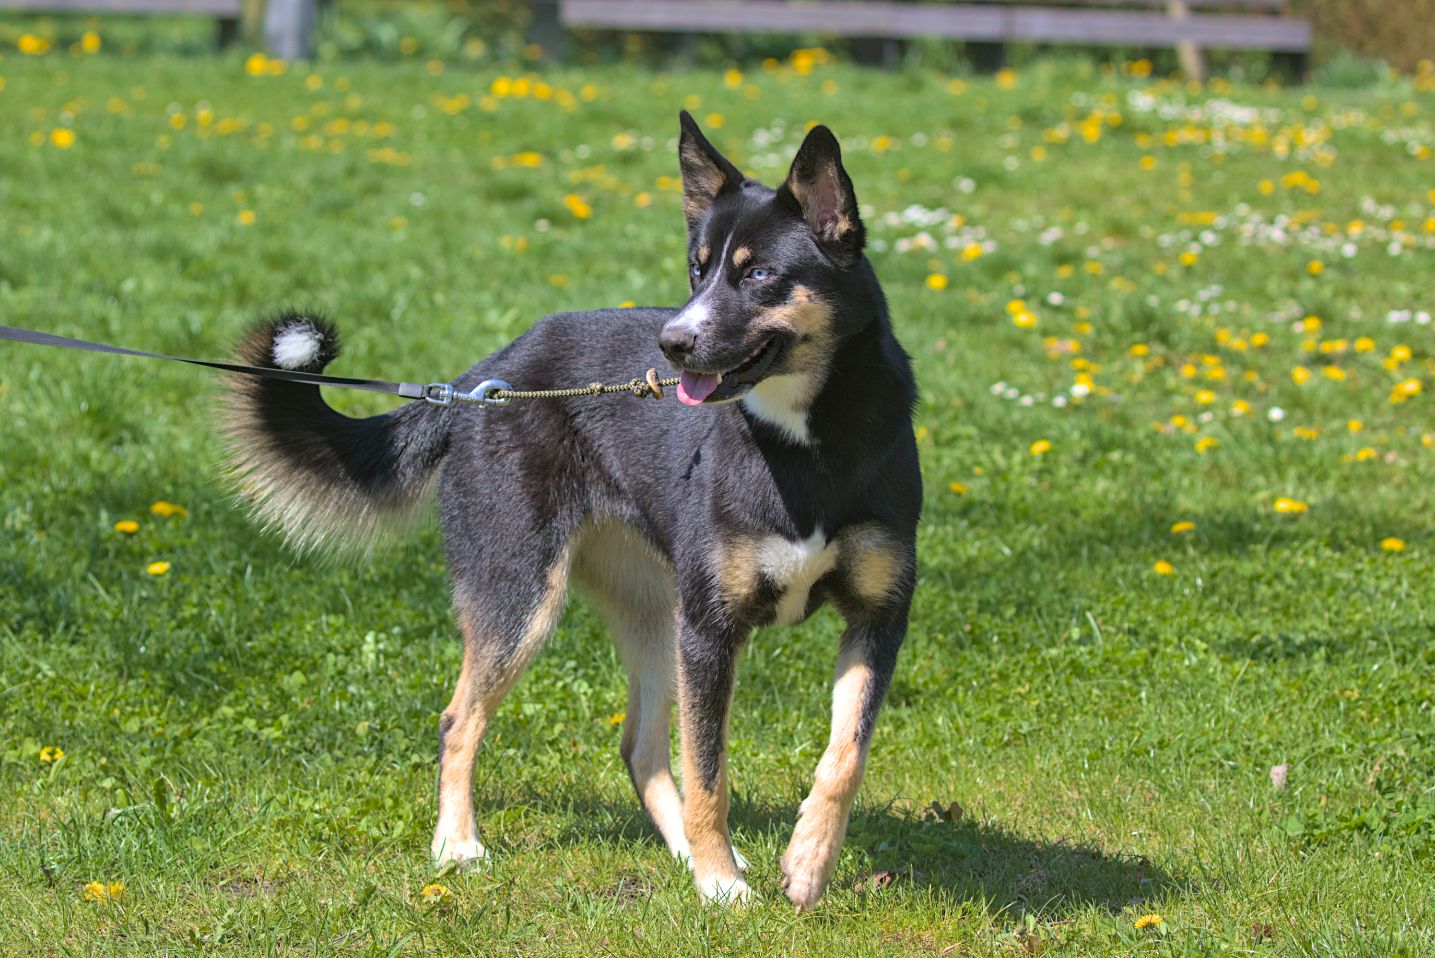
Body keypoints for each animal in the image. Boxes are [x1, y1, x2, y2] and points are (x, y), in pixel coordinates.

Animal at [223, 112, 918, 906]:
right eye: (697, 270)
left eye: (759, 274)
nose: (671, 345)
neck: (806, 444)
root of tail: (479, 380)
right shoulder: (711, 630)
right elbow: (711, 771)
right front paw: (721, 885)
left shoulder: (876, 618)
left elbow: (844, 756)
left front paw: (805, 862)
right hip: (524, 594)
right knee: (459, 720)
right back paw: (458, 844)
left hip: (656, 612)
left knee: (640, 748)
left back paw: (688, 853)